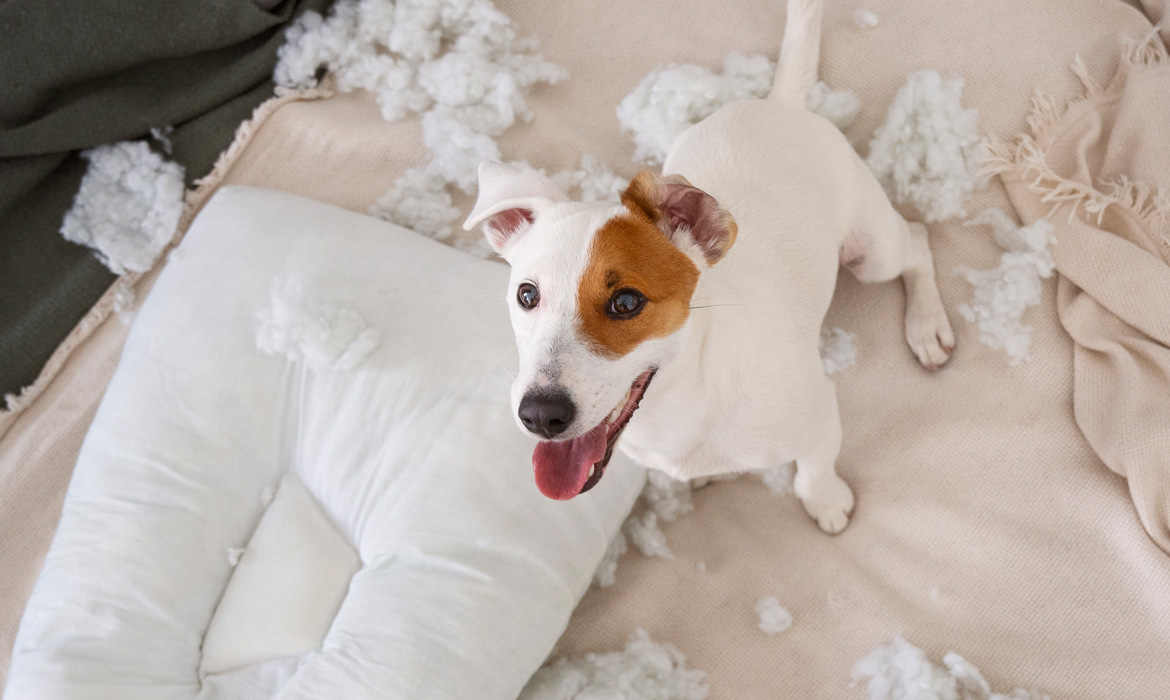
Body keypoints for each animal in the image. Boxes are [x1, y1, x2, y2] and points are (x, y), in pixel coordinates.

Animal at [460, 0, 954, 531]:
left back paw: (927, 326)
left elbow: (815, 466)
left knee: (917, 243)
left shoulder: (818, 413)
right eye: (526, 295)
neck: (681, 402)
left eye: (626, 302)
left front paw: (825, 500)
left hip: (872, 251)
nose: (539, 416)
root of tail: (781, 104)